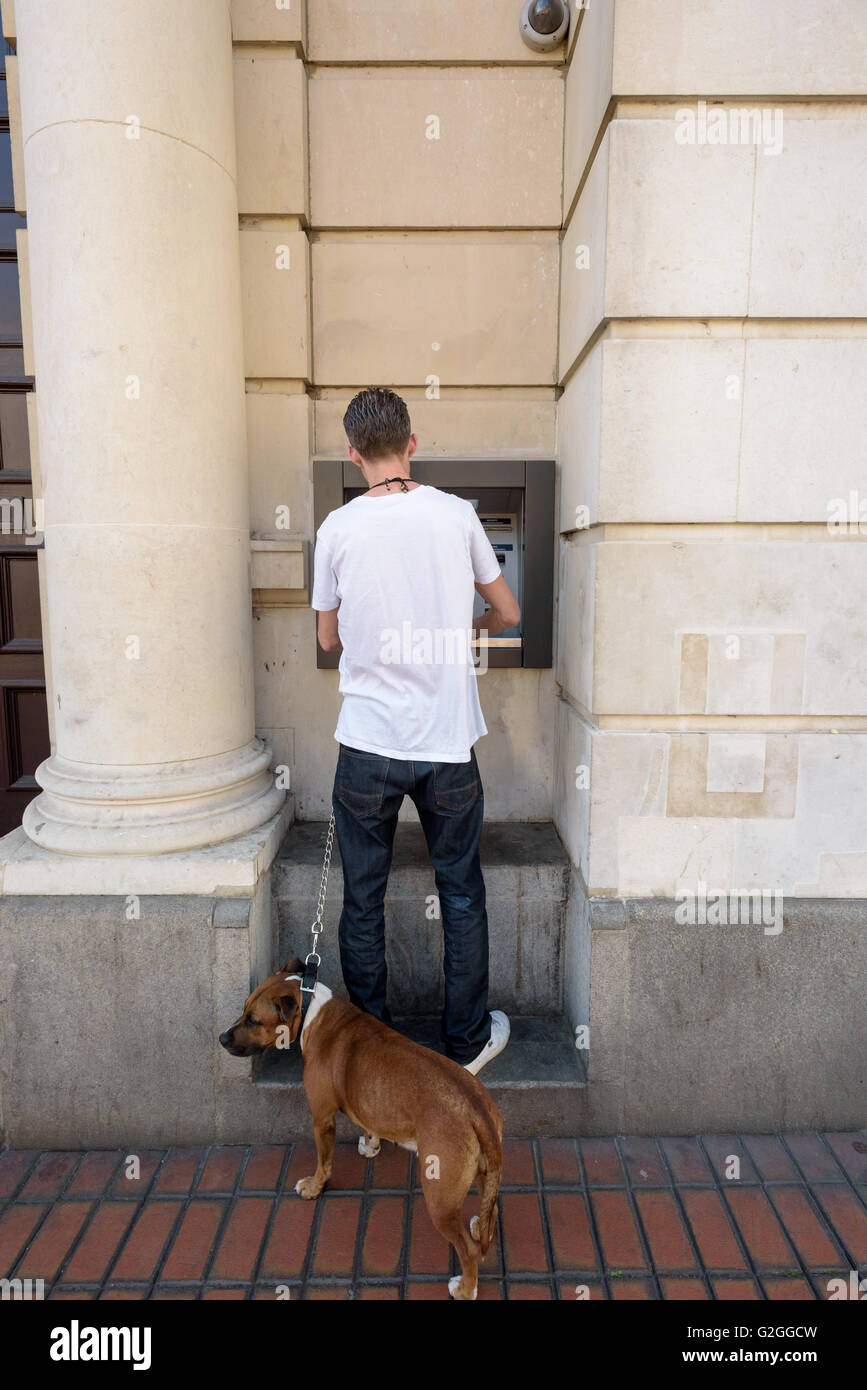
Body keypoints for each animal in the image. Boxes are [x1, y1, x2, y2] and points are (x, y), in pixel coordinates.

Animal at [219, 956, 500, 1289]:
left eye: (253, 1020)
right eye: (244, 1010)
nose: (221, 1038)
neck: (312, 1007)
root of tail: (476, 1110)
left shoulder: (322, 1119)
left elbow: (324, 1162)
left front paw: (314, 1187)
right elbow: (369, 1121)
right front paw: (371, 1144)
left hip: (440, 1196)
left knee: (469, 1251)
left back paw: (465, 1288)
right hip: (483, 1170)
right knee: (492, 1210)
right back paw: (480, 1226)